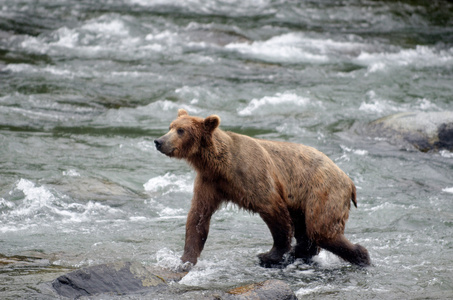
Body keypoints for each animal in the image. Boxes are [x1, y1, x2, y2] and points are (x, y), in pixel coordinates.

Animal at [154, 109, 370, 268]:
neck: (220, 164)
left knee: (321, 229)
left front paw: (269, 254)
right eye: (170, 126)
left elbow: (274, 211)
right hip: (303, 200)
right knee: (307, 229)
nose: (159, 141)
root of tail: (348, 180)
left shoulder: (252, 175)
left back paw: (361, 256)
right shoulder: (210, 183)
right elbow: (198, 217)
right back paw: (301, 253)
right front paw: (184, 260)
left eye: (181, 130)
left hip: (322, 190)